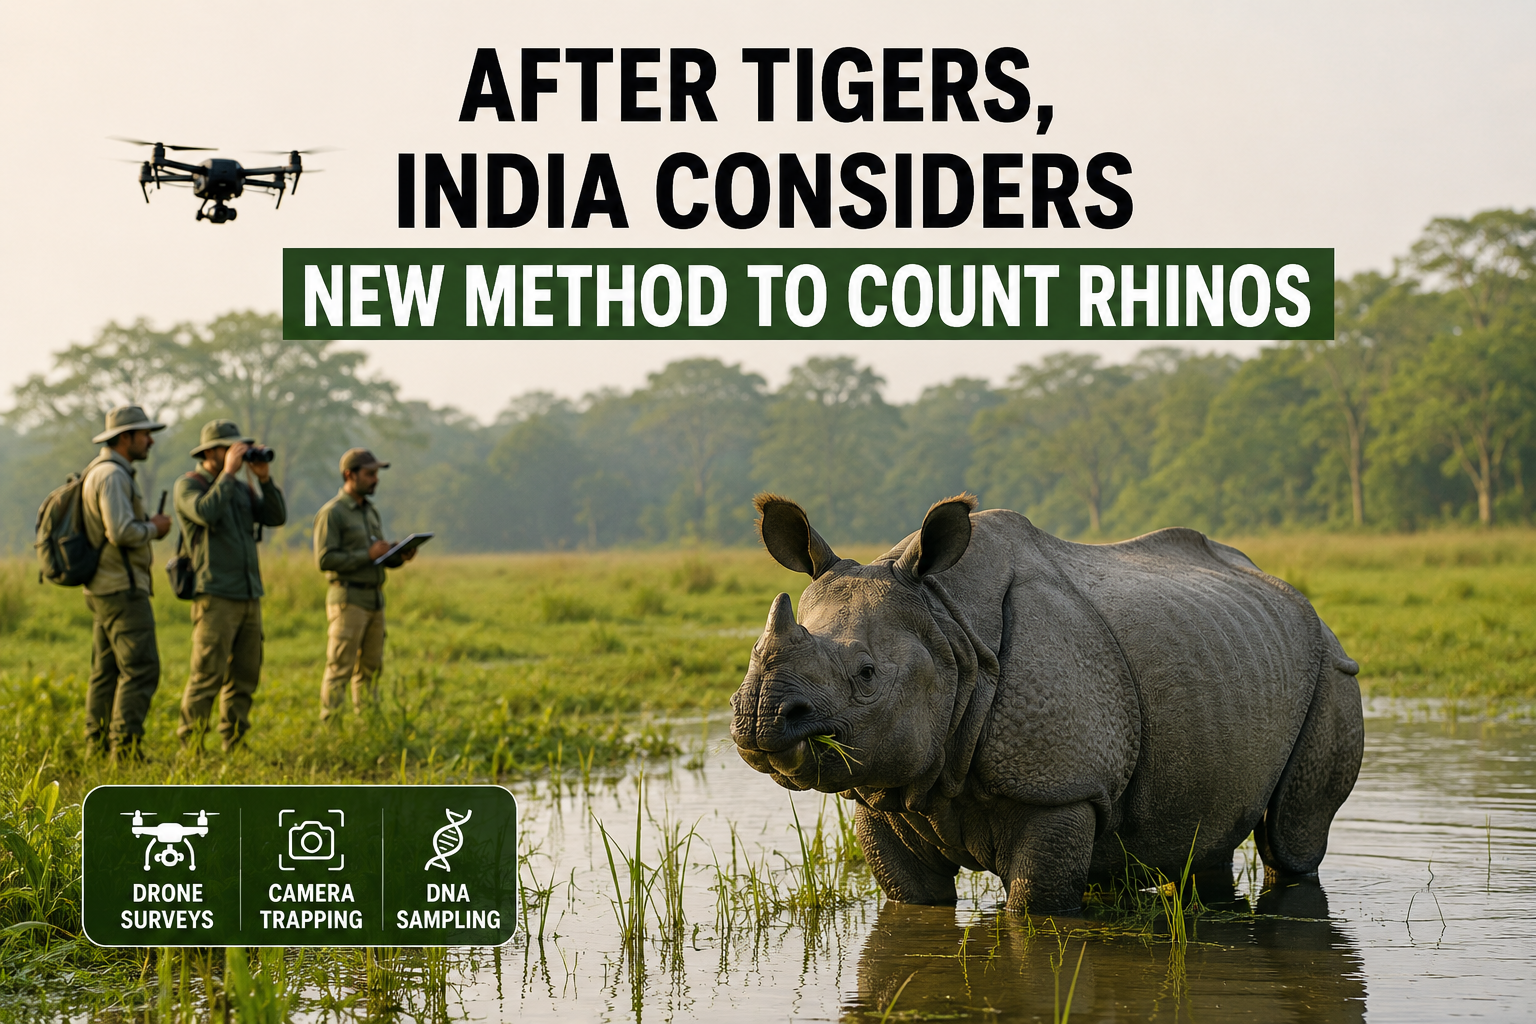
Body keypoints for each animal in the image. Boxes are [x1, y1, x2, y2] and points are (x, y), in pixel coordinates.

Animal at [731, 494, 1364, 913]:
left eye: (866, 675)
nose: (761, 715)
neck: (949, 626)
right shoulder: (884, 786)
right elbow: (914, 900)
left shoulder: (1062, 788)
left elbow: (1034, 910)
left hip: (1332, 667)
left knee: (1291, 841)